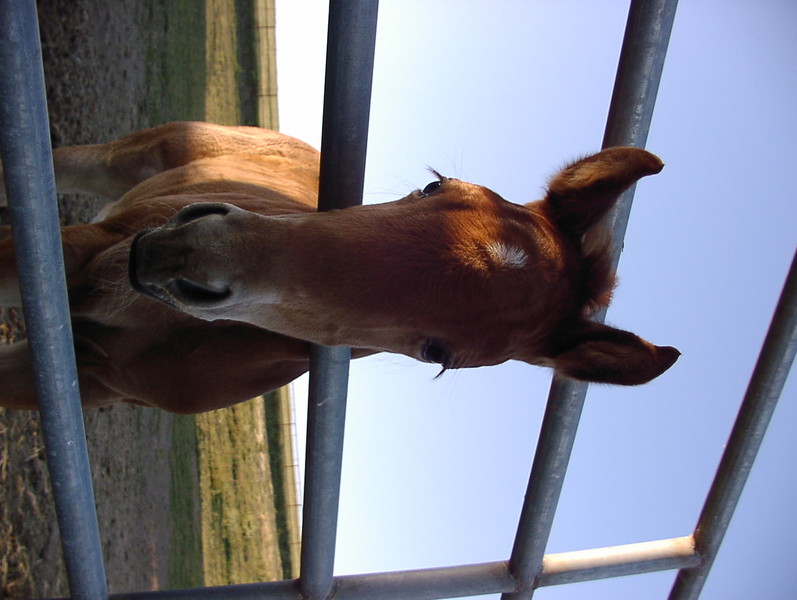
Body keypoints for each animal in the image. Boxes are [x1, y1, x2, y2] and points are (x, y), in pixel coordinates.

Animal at [0, 121, 678, 413]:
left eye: (439, 355)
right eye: (435, 185)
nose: (191, 256)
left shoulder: (75, 378)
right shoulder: (74, 255)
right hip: (124, 160)